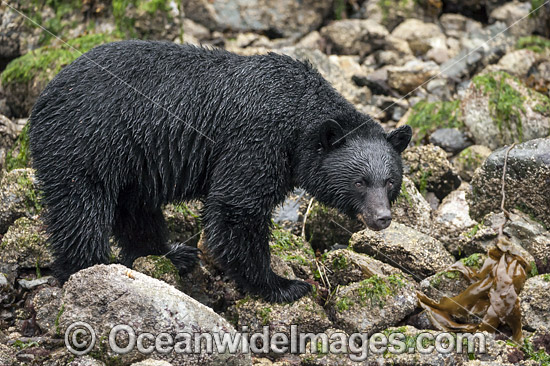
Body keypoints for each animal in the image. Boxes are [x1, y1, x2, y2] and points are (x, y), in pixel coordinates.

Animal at [29, 41, 410, 302]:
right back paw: (89, 268)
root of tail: (47, 92)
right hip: (88, 141)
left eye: (391, 181)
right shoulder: (257, 140)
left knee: (134, 207)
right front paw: (282, 285)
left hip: (133, 159)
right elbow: (236, 208)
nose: (382, 218)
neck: (299, 116)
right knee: (81, 206)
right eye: (360, 182)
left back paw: (171, 254)